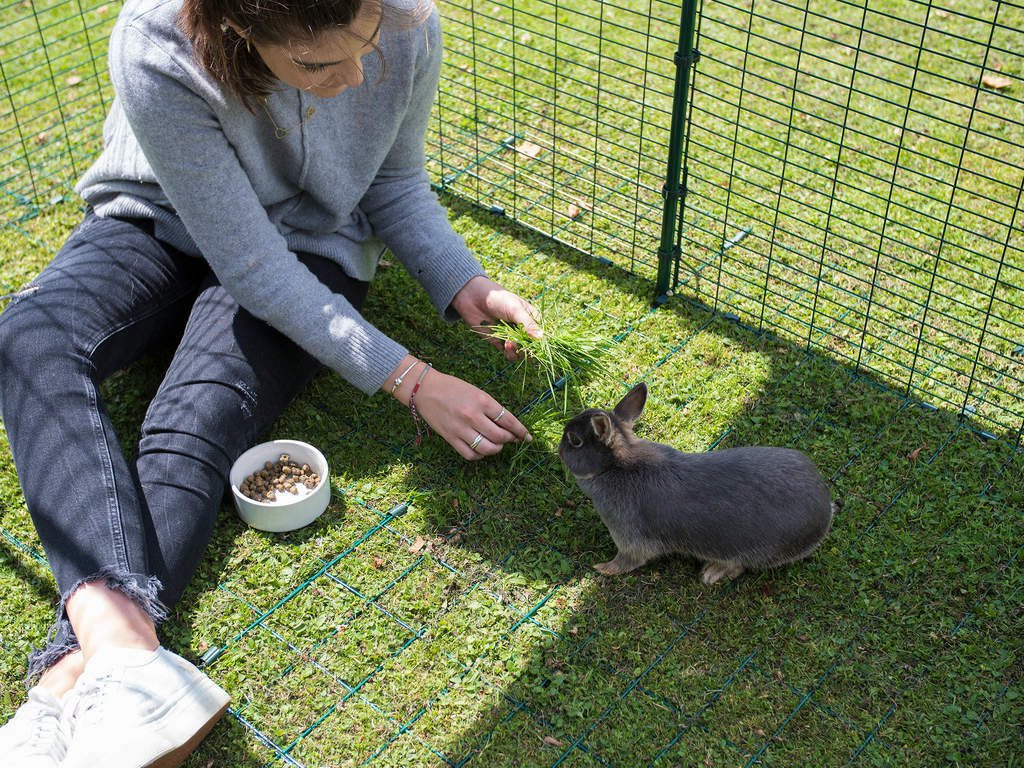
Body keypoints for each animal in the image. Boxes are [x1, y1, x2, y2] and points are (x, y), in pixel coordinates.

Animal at [557, 381, 835, 584]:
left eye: (574, 441)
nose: (559, 450)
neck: (614, 467)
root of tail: (825, 511)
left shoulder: (629, 537)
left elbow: (627, 561)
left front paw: (602, 568)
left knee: (738, 567)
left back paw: (711, 573)